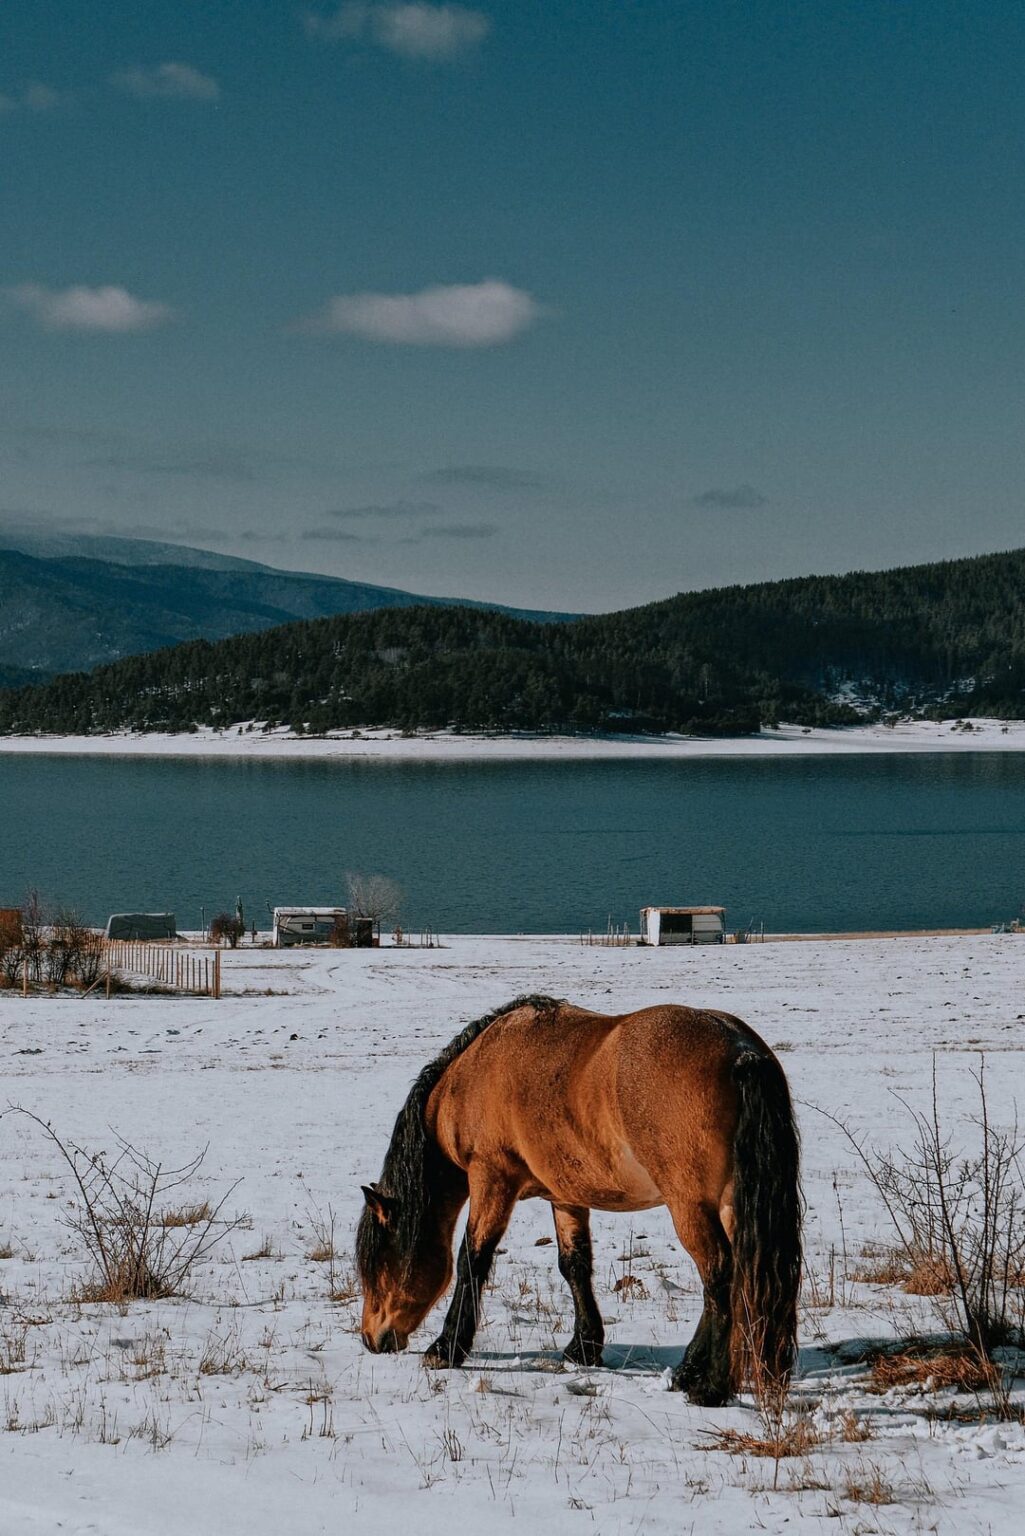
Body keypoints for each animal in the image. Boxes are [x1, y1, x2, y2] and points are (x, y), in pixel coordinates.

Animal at [356, 994, 801, 1405]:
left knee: (720, 1275)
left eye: (379, 1262)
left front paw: (446, 1348)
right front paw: (583, 1347)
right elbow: (574, 1265)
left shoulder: (491, 1178)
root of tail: (741, 1050)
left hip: (690, 1206)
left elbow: (472, 1259)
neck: (474, 1072)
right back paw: (698, 1371)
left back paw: (707, 1385)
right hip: (728, 1204)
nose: (371, 1339)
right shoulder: (566, 1196)